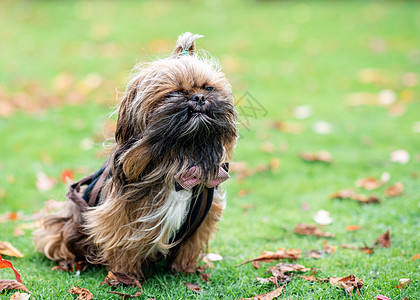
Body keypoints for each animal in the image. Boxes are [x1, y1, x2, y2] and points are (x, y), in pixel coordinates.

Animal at [34, 32, 238, 282]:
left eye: (208, 88)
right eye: (175, 92)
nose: (199, 97)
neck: (179, 160)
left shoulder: (203, 220)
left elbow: (188, 247)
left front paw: (184, 270)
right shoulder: (123, 216)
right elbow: (125, 246)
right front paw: (125, 277)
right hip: (67, 222)